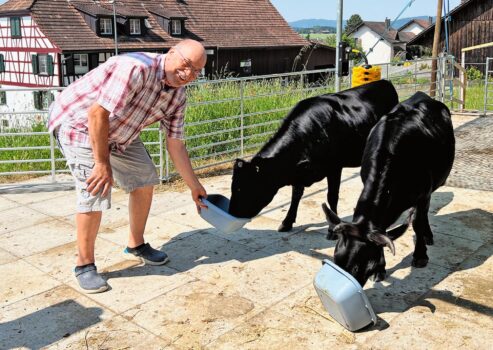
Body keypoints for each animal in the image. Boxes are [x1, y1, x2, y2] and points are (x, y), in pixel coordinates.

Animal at [229, 79, 398, 234]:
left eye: (244, 187)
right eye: (233, 186)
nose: (232, 212)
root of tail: (385, 82)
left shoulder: (334, 167)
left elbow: (332, 196)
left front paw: (333, 226)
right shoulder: (297, 173)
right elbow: (296, 195)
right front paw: (287, 222)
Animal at [322, 90, 454, 288]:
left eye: (358, 265)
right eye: (336, 257)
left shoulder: (423, 193)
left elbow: (417, 222)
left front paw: (420, 256)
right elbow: (384, 231)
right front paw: (380, 270)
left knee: (423, 215)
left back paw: (428, 236)